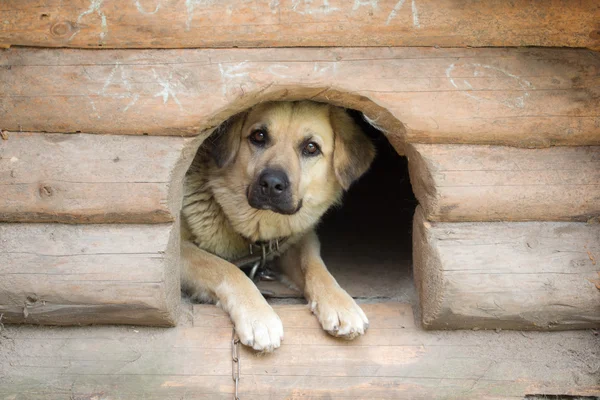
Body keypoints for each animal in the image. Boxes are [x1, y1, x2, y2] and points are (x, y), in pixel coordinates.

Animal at [180, 101, 376, 352]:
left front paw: (341, 303)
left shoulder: (298, 240)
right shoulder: (179, 250)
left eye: (311, 147)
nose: (272, 184)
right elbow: (226, 268)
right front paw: (258, 316)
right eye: (259, 136)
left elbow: (315, 266)